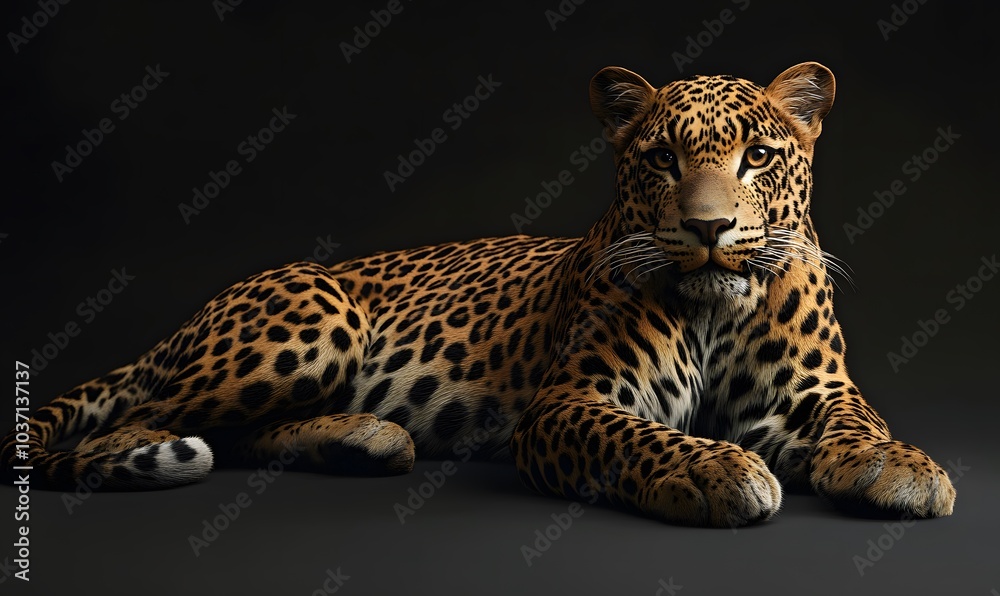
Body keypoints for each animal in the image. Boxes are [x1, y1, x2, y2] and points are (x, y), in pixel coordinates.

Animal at [3, 62, 955, 527]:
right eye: (661, 158)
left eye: (758, 156)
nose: (712, 227)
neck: (719, 311)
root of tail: (188, 319)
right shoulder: (576, 402)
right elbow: (646, 439)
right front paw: (717, 468)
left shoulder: (811, 393)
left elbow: (861, 419)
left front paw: (903, 469)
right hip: (314, 315)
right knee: (139, 423)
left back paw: (366, 438)